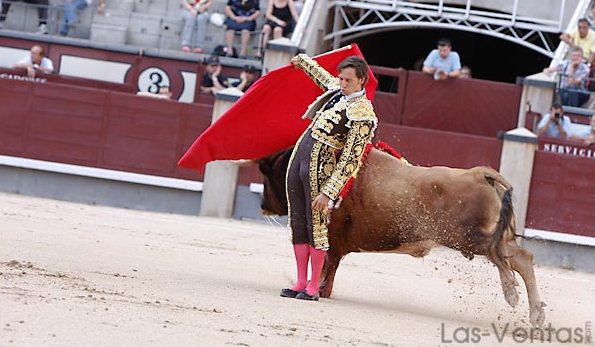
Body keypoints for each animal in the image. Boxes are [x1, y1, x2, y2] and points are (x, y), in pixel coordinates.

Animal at [258, 146, 548, 328]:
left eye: (267, 171)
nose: (262, 206)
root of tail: (479, 173)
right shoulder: (337, 247)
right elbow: (329, 270)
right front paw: (321, 291)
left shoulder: (331, 240)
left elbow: (324, 265)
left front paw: (314, 291)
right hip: (490, 237)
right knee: (520, 258)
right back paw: (535, 313)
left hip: (468, 237)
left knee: (503, 256)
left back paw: (512, 293)